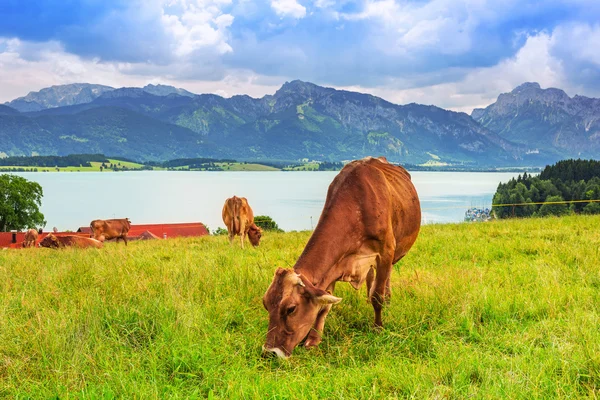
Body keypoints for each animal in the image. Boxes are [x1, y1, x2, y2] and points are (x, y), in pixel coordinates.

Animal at [262, 157, 422, 360]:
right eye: (266, 304)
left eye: (291, 309)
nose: (270, 352)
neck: (357, 206)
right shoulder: (332, 267)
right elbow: (324, 305)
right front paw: (314, 340)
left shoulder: (386, 250)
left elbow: (377, 295)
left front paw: (378, 328)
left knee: (385, 280)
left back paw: (387, 300)